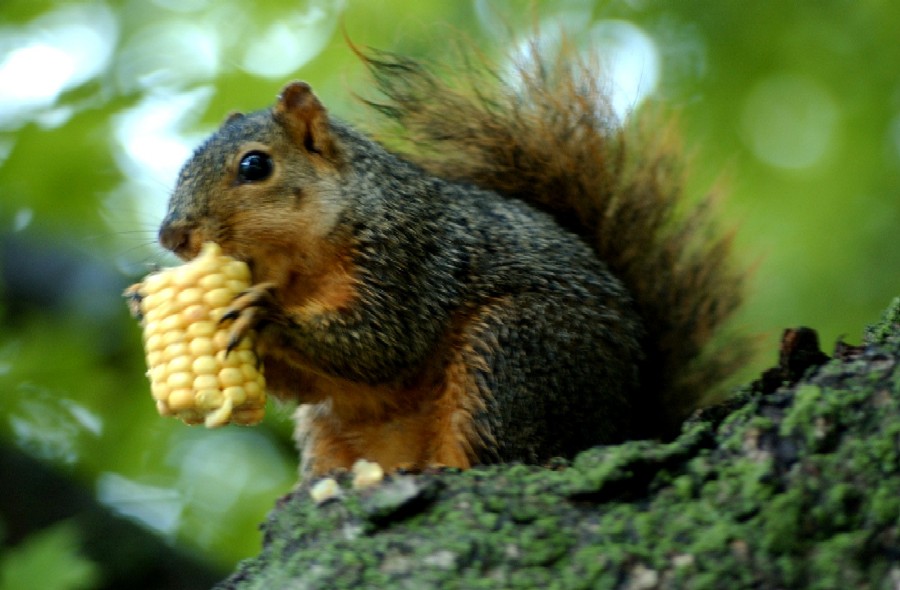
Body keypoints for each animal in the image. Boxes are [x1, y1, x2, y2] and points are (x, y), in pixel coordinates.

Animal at [155, 41, 748, 479]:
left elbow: (381, 342)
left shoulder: (409, 257)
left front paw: (267, 316)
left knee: (506, 451)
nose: (172, 236)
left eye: (254, 165)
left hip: (513, 351)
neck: (298, 264)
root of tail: (628, 416)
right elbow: (316, 384)